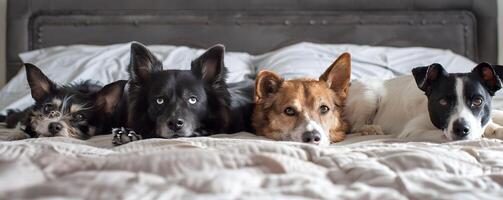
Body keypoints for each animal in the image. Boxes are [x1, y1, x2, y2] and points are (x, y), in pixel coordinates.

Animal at [344, 62, 502, 141]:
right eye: (443, 102)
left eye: (478, 101)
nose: (461, 129)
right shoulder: (411, 132)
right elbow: (443, 135)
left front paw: (495, 129)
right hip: (369, 96)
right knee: (355, 126)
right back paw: (370, 129)